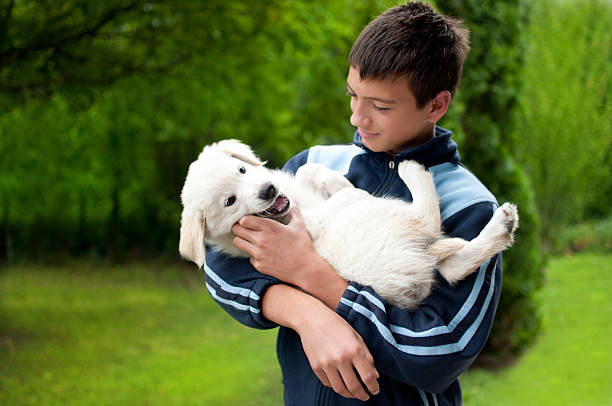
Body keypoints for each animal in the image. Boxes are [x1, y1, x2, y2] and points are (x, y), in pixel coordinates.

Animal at [179, 140, 520, 308]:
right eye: (230, 201)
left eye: (241, 170)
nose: (268, 191)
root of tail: (417, 265)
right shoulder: (311, 222)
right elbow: (345, 198)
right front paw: (349, 188)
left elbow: (307, 171)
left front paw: (334, 179)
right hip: (390, 216)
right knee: (428, 220)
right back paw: (412, 169)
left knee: (452, 269)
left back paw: (502, 226)